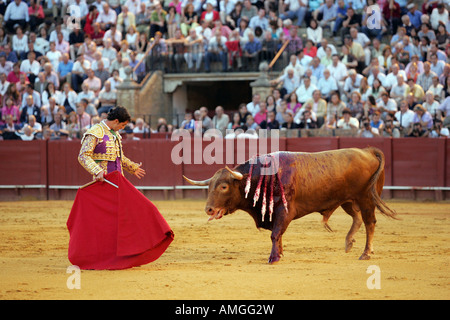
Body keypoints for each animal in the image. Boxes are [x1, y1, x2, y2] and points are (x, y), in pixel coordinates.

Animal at [183, 147, 398, 262]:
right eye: (210, 185)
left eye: (224, 186)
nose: (209, 209)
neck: (262, 176)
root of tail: (367, 151)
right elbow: (277, 235)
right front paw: (280, 253)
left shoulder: (284, 212)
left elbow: (275, 233)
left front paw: (274, 258)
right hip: (348, 200)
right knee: (358, 218)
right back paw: (349, 243)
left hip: (366, 198)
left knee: (370, 222)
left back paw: (366, 253)